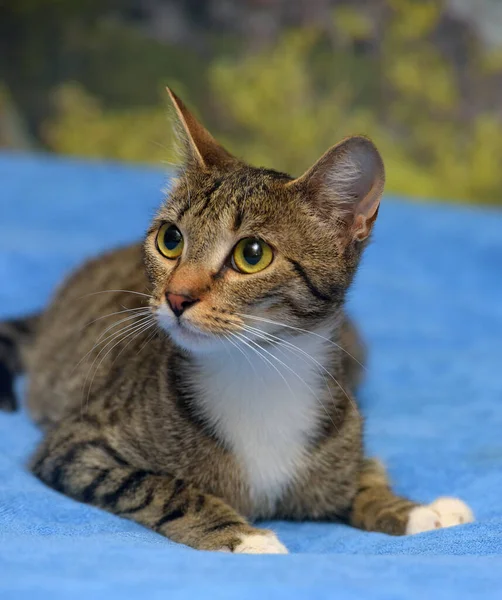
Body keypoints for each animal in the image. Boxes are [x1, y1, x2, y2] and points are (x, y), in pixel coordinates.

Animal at [0, 89, 474, 552]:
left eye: (252, 254)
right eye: (170, 239)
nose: (177, 296)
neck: (257, 372)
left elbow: (363, 472)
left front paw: (411, 508)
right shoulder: (77, 446)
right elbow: (158, 486)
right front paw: (242, 535)